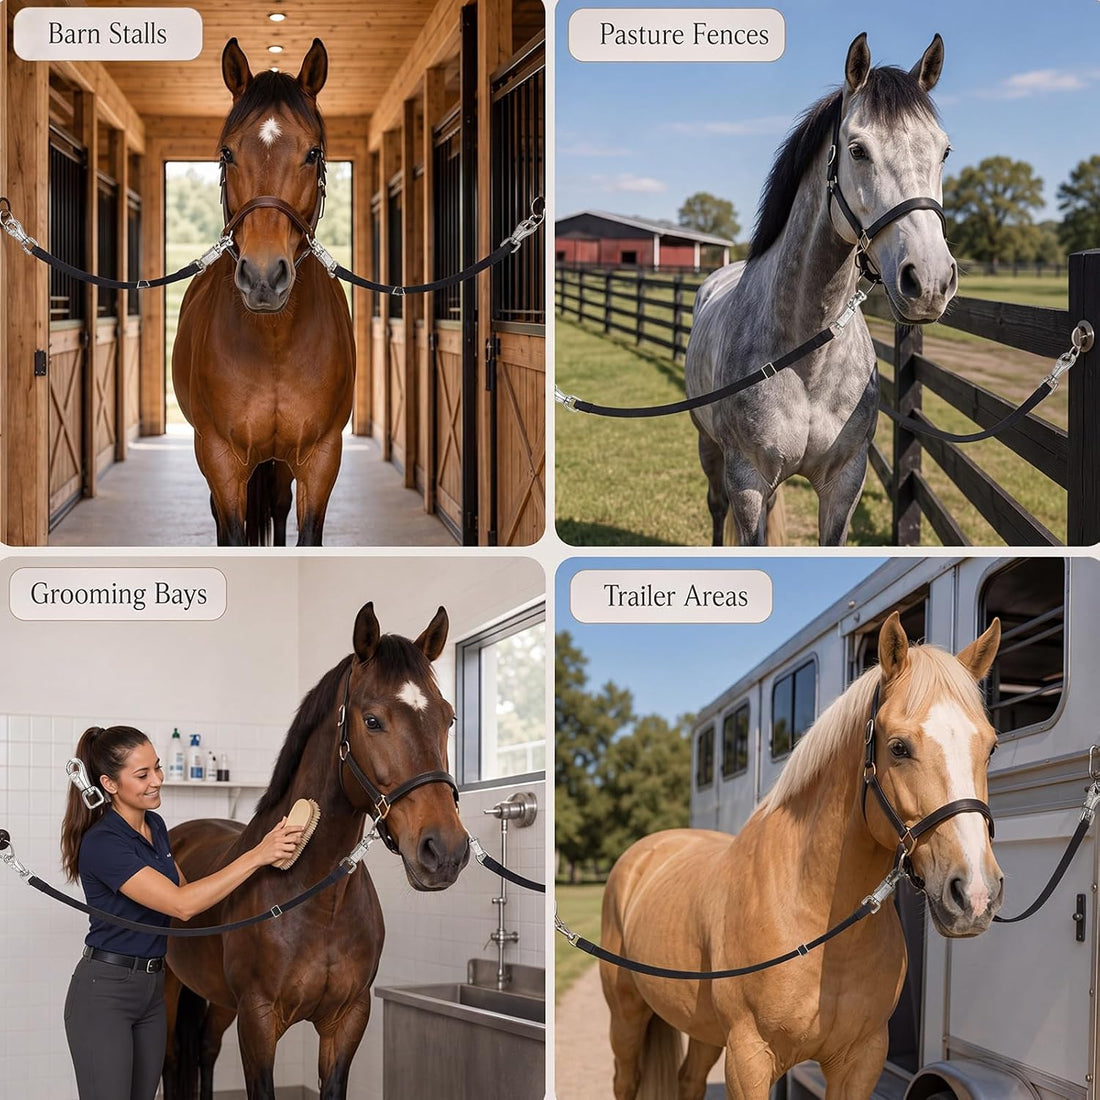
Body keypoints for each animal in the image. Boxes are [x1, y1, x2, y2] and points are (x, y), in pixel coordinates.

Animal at [162, 602, 469, 1100]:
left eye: (449, 719)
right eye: (372, 720)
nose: (444, 850)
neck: (316, 898)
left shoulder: (347, 1019)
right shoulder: (258, 1021)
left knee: (205, 1048)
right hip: (169, 985)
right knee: (171, 1059)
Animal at [173, 38, 354, 546]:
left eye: (313, 153)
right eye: (227, 153)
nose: (262, 278)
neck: (274, 340)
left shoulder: (320, 458)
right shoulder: (220, 458)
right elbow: (233, 532)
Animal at [600, 611, 1004, 1099]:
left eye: (991, 746)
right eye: (899, 747)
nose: (975, 894)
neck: (813, 921)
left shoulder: (861, 1060)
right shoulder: (750, 1059)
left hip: (701, 1030)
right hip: (626, 1015)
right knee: (625, 1078)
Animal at [684, 33, 958, 546]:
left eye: (944, 152)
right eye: (858, 150)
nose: (930, 281)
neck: (805, 360)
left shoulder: (844, 481)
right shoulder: (747, 481)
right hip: (709, 447)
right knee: (714, 506)